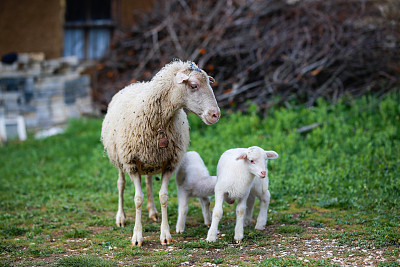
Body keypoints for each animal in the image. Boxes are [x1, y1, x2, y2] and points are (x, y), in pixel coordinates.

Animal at [99, 59, 219, 247]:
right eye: (193, 85)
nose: (215, 114)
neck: (159, 123)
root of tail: (136, 83)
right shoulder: (131, 163)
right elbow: (137, 199)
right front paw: (137, 236)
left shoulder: (169, 163)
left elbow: (163, 196)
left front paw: (165, 234)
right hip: (119, 158)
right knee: (121, 184)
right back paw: (121, 217)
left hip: (149, 161)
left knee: (148, 183)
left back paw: (153, 211)